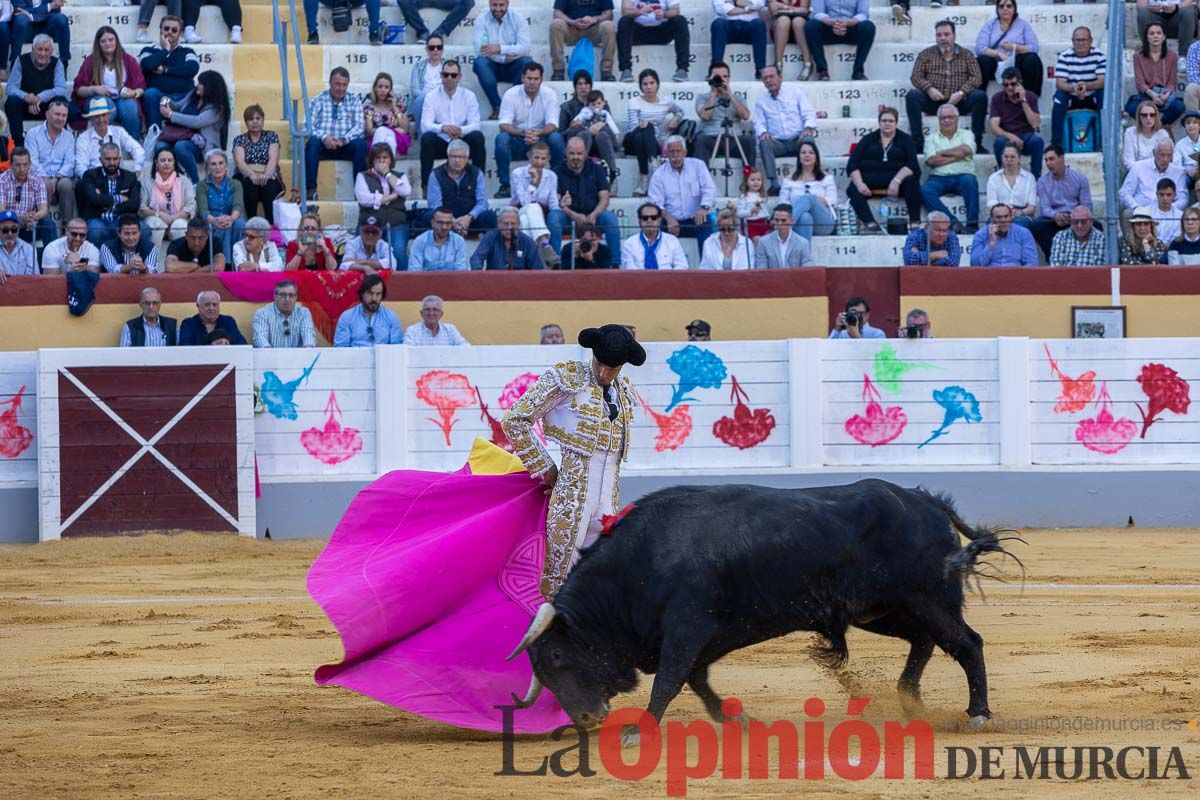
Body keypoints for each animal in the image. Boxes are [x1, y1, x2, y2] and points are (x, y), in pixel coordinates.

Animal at [506, 482, 1022, 734]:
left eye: (557, 656)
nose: (585, 719)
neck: (642, 561)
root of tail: (923, 501)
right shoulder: (705, 637)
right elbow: (697, 679)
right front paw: (736, 719)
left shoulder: (686, 627)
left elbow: (670, 680)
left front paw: (642, 729)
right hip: (882, 611)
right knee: (925, 641)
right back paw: (909, 701)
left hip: (925, 598)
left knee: (966, 643)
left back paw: (977, 714)